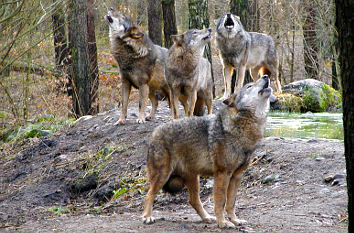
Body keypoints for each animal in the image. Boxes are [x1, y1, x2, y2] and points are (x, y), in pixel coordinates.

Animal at [142, 75, 272, 228]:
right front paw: (223, 223)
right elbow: (220, 202)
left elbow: (231, 203)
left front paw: (234, 220)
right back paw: (147, 217)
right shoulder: (222, 174)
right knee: (149, 194)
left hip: (193, 178)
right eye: (249, 86)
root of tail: (154, 133)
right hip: (163, 175)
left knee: (193, 200)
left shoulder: (236, 176)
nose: (266, 76)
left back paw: (207, 218)